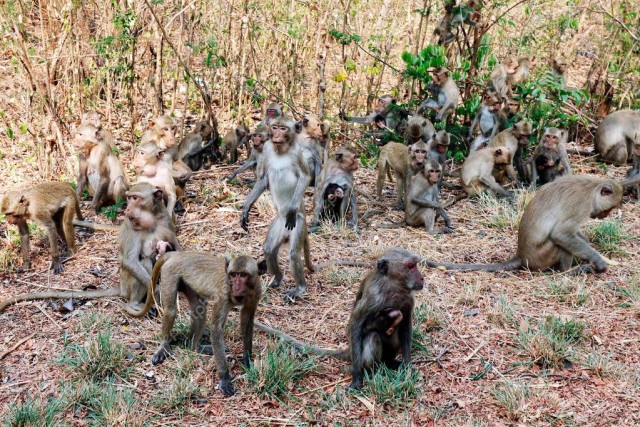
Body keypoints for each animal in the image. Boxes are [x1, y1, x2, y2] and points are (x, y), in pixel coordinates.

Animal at [0, 182, 180, 312]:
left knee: (63, 223)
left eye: (135, 198)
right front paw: (26, 264)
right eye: (129, 198)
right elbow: (24, 233)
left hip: (69, 201)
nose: (127, 208)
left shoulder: (165, 219)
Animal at [122, 254, 262, 398]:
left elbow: (247, 321)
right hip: (170, 272)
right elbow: (216, 328)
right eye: (233, 275)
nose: (236, 287)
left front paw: (247, 359)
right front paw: (224, 379)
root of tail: (177, 254)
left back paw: (194, 346)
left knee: (199, 309)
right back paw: (164, 347)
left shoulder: (256, 292)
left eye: (243, 275)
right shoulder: (224, 293)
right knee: (171, 311)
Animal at [240, 116, 316, 300]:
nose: (276, 135)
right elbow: (263, 178)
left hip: (299, 225)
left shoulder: (298, 153)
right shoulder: (267, 149)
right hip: (279, 224)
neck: (281, 150)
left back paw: (300, 288)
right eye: (275, 127)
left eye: (283, 128)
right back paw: (278, 278)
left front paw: (292, 209)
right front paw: (246, 208)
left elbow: (305, 177)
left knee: (294, 253)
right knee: (269, 248)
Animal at [252, 247, 422, 392]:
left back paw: (389, 362)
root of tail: (349, 351)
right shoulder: (373, 297)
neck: (393, 287)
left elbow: (405, 326)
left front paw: (407, 367)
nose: (421, 278)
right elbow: (355, 325)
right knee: (372, 336)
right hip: (357, 352)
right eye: (411, 266)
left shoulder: (408, 299)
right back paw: (373, 370)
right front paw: (356, 376)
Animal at [422, 176, 624, 274]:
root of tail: (522, 256)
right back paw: (570, 271)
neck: (593, 187)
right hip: (542, 256)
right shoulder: (581, 205)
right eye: (610, 208)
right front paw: (599, 261)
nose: (604, 215)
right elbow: (561, 233)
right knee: (557, 241)